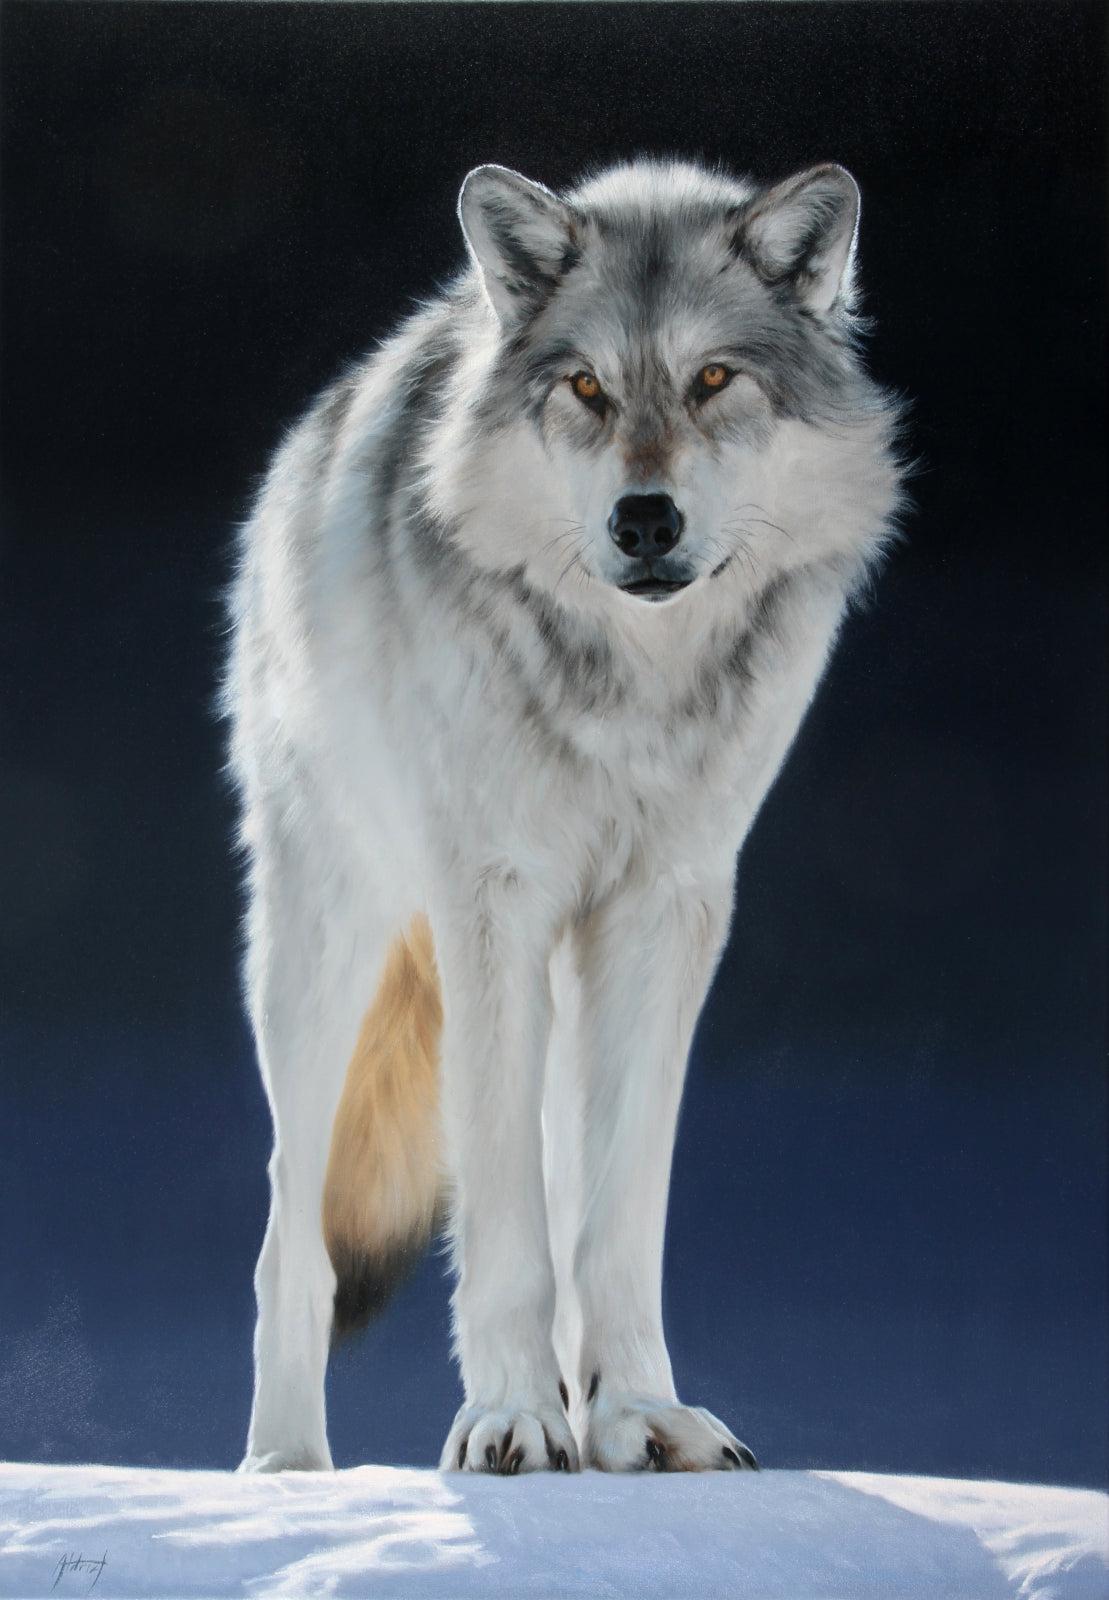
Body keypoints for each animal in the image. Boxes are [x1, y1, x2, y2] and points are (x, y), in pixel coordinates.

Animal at [224, 156, 904, 1476]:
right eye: (585, 386)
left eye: (710, 379)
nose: (644, 519)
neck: (630, 688)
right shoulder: (491, 900)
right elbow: (498, 1229)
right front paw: (512, 1416)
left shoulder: (664, 908)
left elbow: (614, 1220)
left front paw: (633, 1413)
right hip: (324, 958)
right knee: (289, 1237)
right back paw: (284, 1472)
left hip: (549, 983)